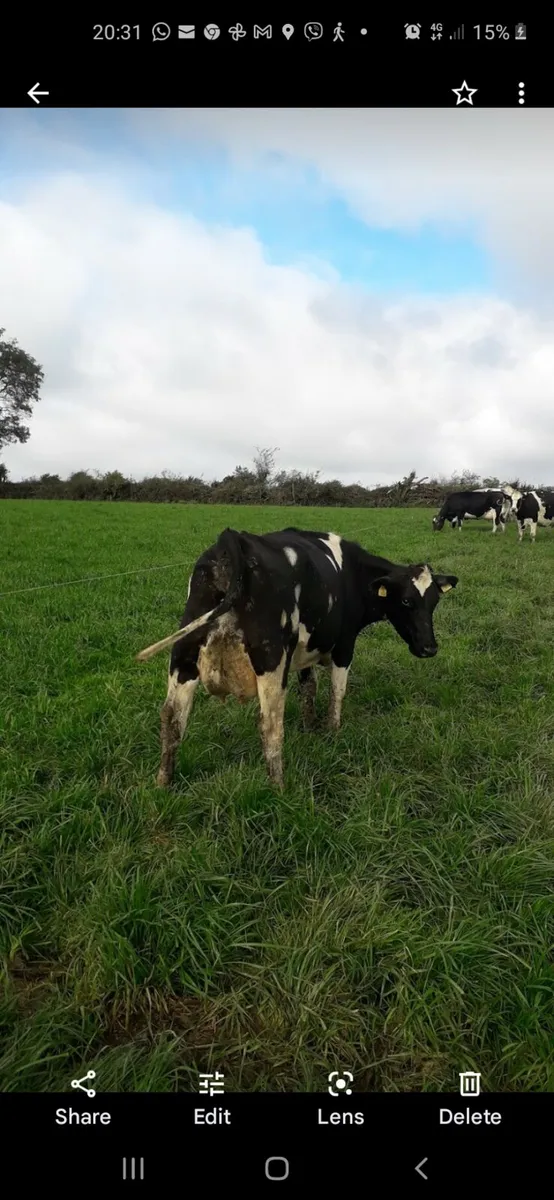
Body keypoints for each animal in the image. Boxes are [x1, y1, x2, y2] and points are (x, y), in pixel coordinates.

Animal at [136, 527, 458, 789]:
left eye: (434, 602)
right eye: (406, 601)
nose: (429, 648)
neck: (351, 573)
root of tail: (235, 539)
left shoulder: (306, 653)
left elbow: (308, 689)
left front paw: (310, 727)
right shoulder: (344, 646)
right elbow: (337, 692)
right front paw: (332, 731)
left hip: (184, 653)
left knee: (172, 717)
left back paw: (164, 783)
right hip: (271, 658)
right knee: (270, 724)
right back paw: (278, 787)